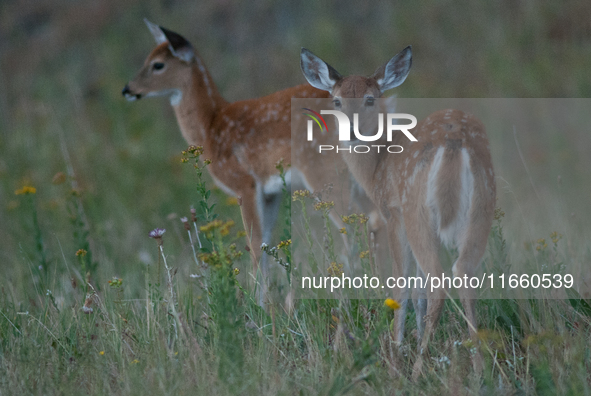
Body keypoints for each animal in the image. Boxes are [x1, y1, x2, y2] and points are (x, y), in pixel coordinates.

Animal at [122, 20, 380, 306]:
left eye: (158, 64)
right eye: (147, 58)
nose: (128, 89)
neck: (210, 126)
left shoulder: (244, 182)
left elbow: (255, 244)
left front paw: (257, 306)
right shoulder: (271, 191)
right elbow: (265, 244)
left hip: (327, 173)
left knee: (358, 226)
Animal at [300, 46, 494, 378]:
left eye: (370, 98)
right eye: (337, 100)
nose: (351, 132)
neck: (377, 165)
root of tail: (455, 142)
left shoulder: (392, 213)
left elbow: (402, 288)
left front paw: (396, 357)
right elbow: (418, 292)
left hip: (416, 210)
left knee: (439, 280)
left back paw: (415, 371)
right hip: (482, 207)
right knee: (464, 271)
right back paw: (480, 371)